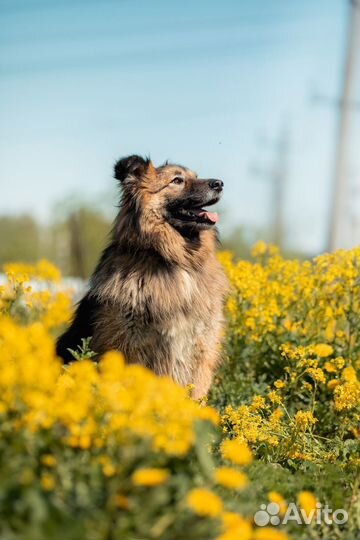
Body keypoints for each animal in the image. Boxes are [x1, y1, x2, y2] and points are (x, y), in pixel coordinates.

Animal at [57, 154, 229, 398]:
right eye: (177, 180)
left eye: (196, 176)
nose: (219, 183)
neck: (177, 260)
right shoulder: (133, 348)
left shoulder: (201, 349)